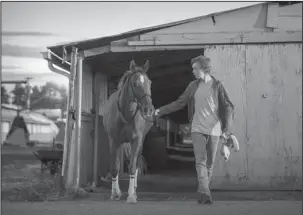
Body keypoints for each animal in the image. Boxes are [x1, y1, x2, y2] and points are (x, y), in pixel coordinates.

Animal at [104, 59, 156, 203]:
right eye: (134, 83)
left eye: (149, 82)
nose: (149, 109)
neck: (126, 115)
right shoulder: (113, 141)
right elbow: (115, 167)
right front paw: (115, 193)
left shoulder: (136, 140)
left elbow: (132, 167)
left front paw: (132, 195)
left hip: (141, 141)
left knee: (137, 162)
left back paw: (135, 189)